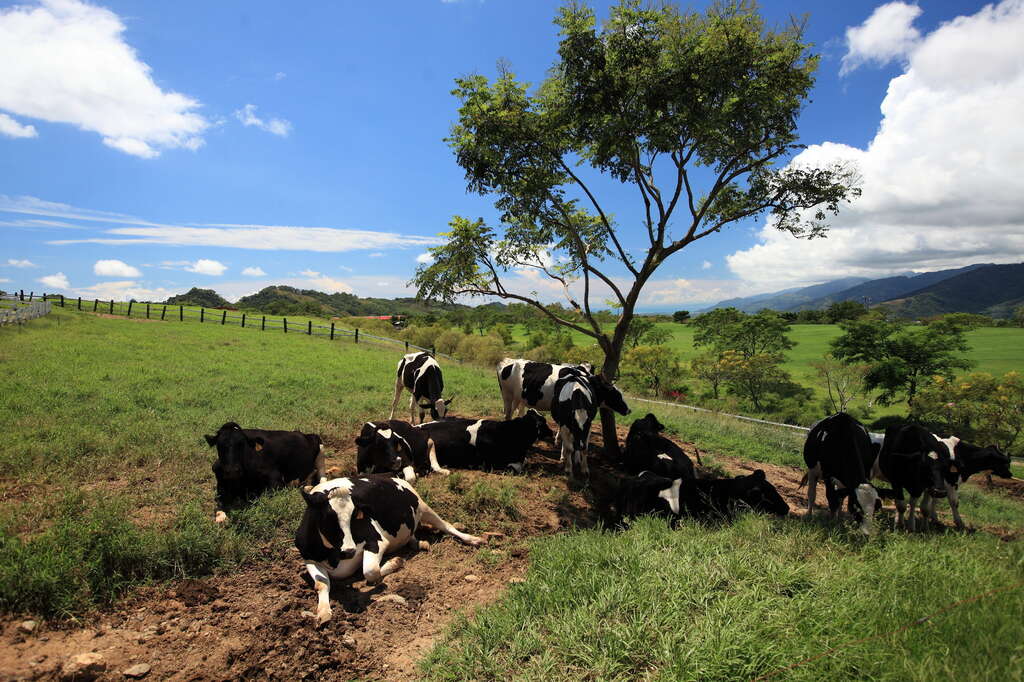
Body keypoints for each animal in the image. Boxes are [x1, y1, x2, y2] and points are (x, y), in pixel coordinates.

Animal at [292, 473, 483, 622]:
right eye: (328, 517)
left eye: (355, 517)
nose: (350, 550)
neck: (335, 556)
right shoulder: (309, 558)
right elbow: (321, 584)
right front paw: (324, 612)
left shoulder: (376, 540)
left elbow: (370, 571)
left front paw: (394, 563)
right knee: (413, 534)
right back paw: (419, 543)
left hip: (423, 506)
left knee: (446, 526)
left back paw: (473, 539)